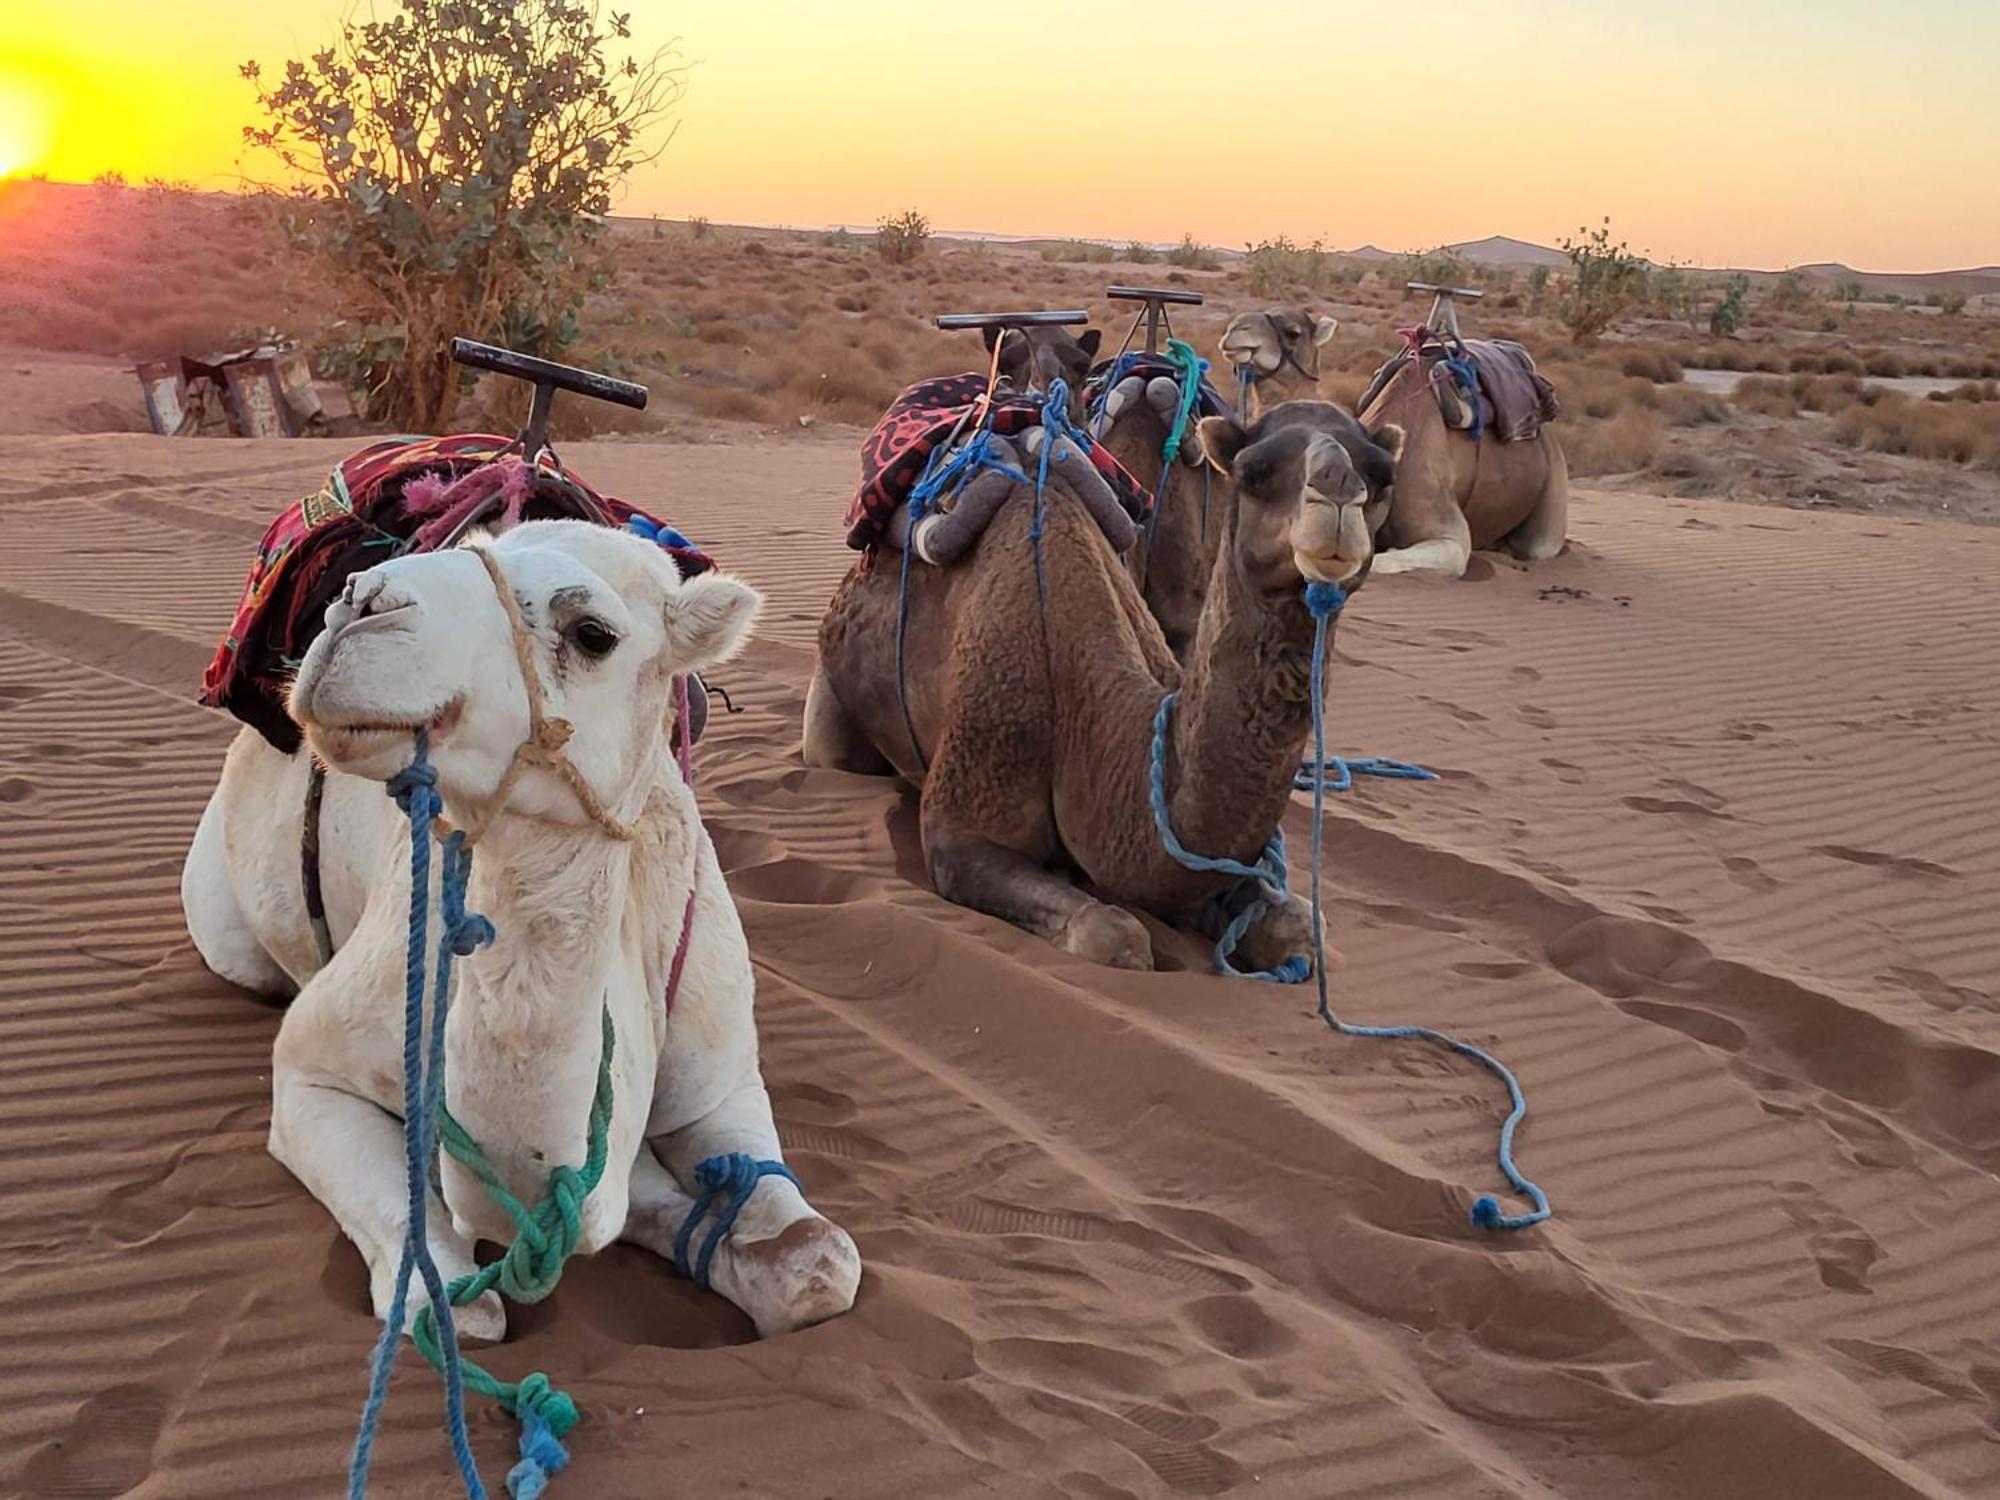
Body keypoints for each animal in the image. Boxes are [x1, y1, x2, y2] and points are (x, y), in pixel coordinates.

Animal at [188, 524, 868, 1344]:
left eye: (592, 633)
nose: (360, 604)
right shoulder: (311, 1070)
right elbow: (451, 1305)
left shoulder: (719, 1078)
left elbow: (818, 1264)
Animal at [804, 400, 1400, 968]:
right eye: (1252, 471)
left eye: (1382, 474)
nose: (1338, 488)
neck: (1094, 716)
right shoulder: (967, 810)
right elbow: (1113, 934)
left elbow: (1301, 925)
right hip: (831, 695)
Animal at [1208, 308, 1568, 580]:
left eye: (1293, 332)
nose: (1236, 329)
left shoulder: (1450, 537)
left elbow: (1381, 560)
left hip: (1553, 492)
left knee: (1541, 544)